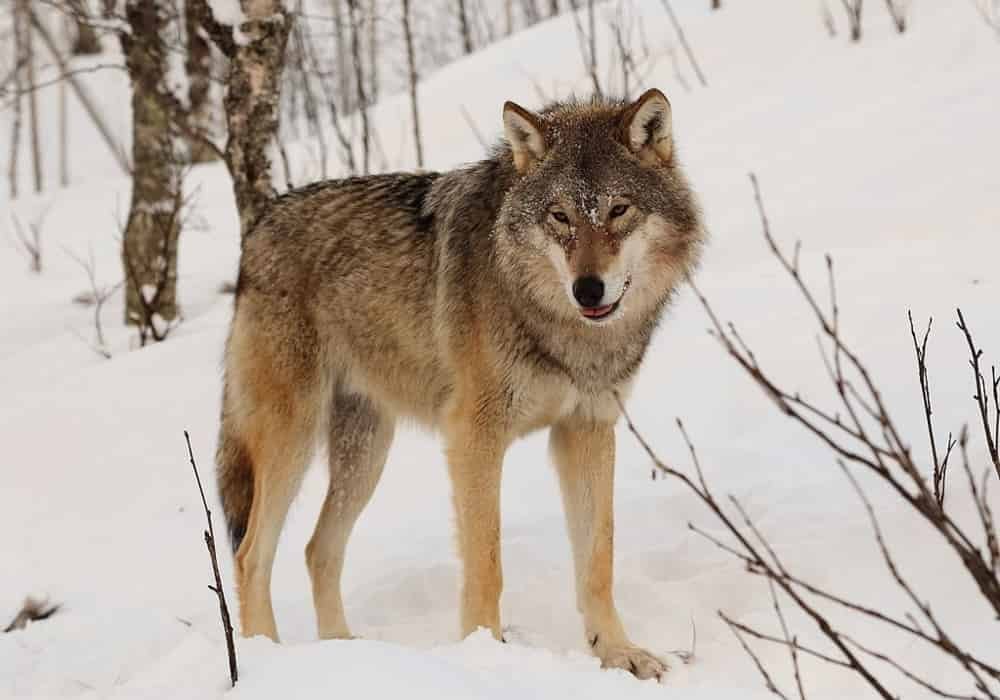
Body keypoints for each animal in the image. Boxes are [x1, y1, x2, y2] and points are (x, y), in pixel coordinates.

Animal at [219, 87, 704, 680]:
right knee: (251, 555)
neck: (556, 325)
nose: (588, 290)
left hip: (365, 454)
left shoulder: (587, 429)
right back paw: (267, 661)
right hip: (293, 440)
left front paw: (617, 653)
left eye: (618, 210)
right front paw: (486, 653)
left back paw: (345, 652)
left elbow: (598, 559)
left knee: (318, 549)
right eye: (560, 216)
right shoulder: (474, 436)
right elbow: (486, 562)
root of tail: (258, 227)